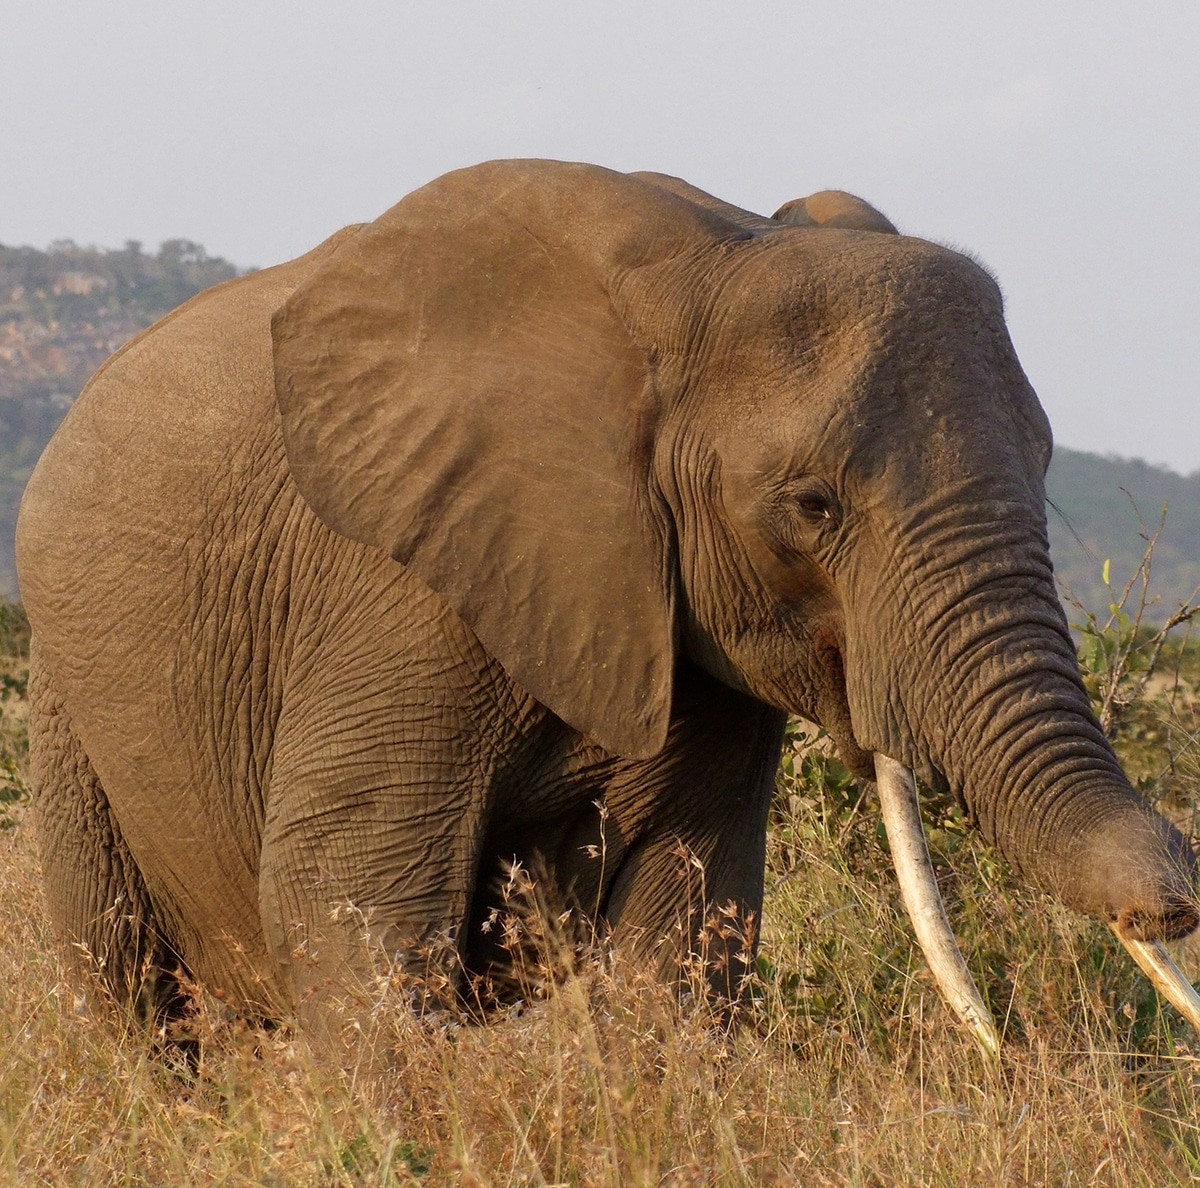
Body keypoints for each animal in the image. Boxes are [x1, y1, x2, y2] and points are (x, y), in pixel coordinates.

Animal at [15, 159, 1200, 1050]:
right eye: (810, 506)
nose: (1174, 901)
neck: (712, 267)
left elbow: (686, 925)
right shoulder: (396, 591)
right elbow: (346, 902)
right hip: (70, 700)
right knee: (122, 982)